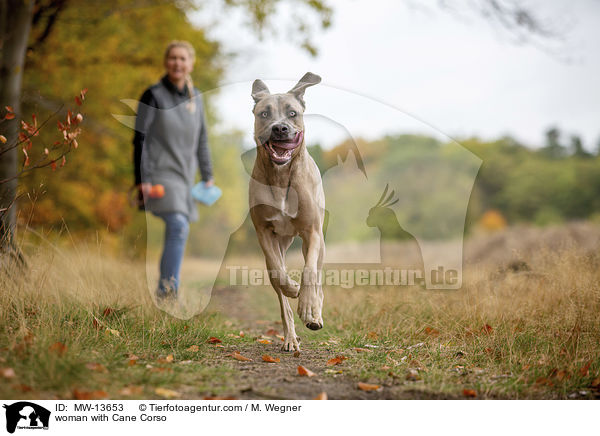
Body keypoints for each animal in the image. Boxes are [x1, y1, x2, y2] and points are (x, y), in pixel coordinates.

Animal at [248, 71, 326, 350]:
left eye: (292, 113)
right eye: (264, 113)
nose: (280, 128)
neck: (281, 177)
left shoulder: (312, 231)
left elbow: (310, 272)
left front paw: (309, 307)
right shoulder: (263, 232)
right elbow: (279, 274)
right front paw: (293, 289)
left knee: (317, 276)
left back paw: (314, 314)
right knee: (281, 296)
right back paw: (291, 337)